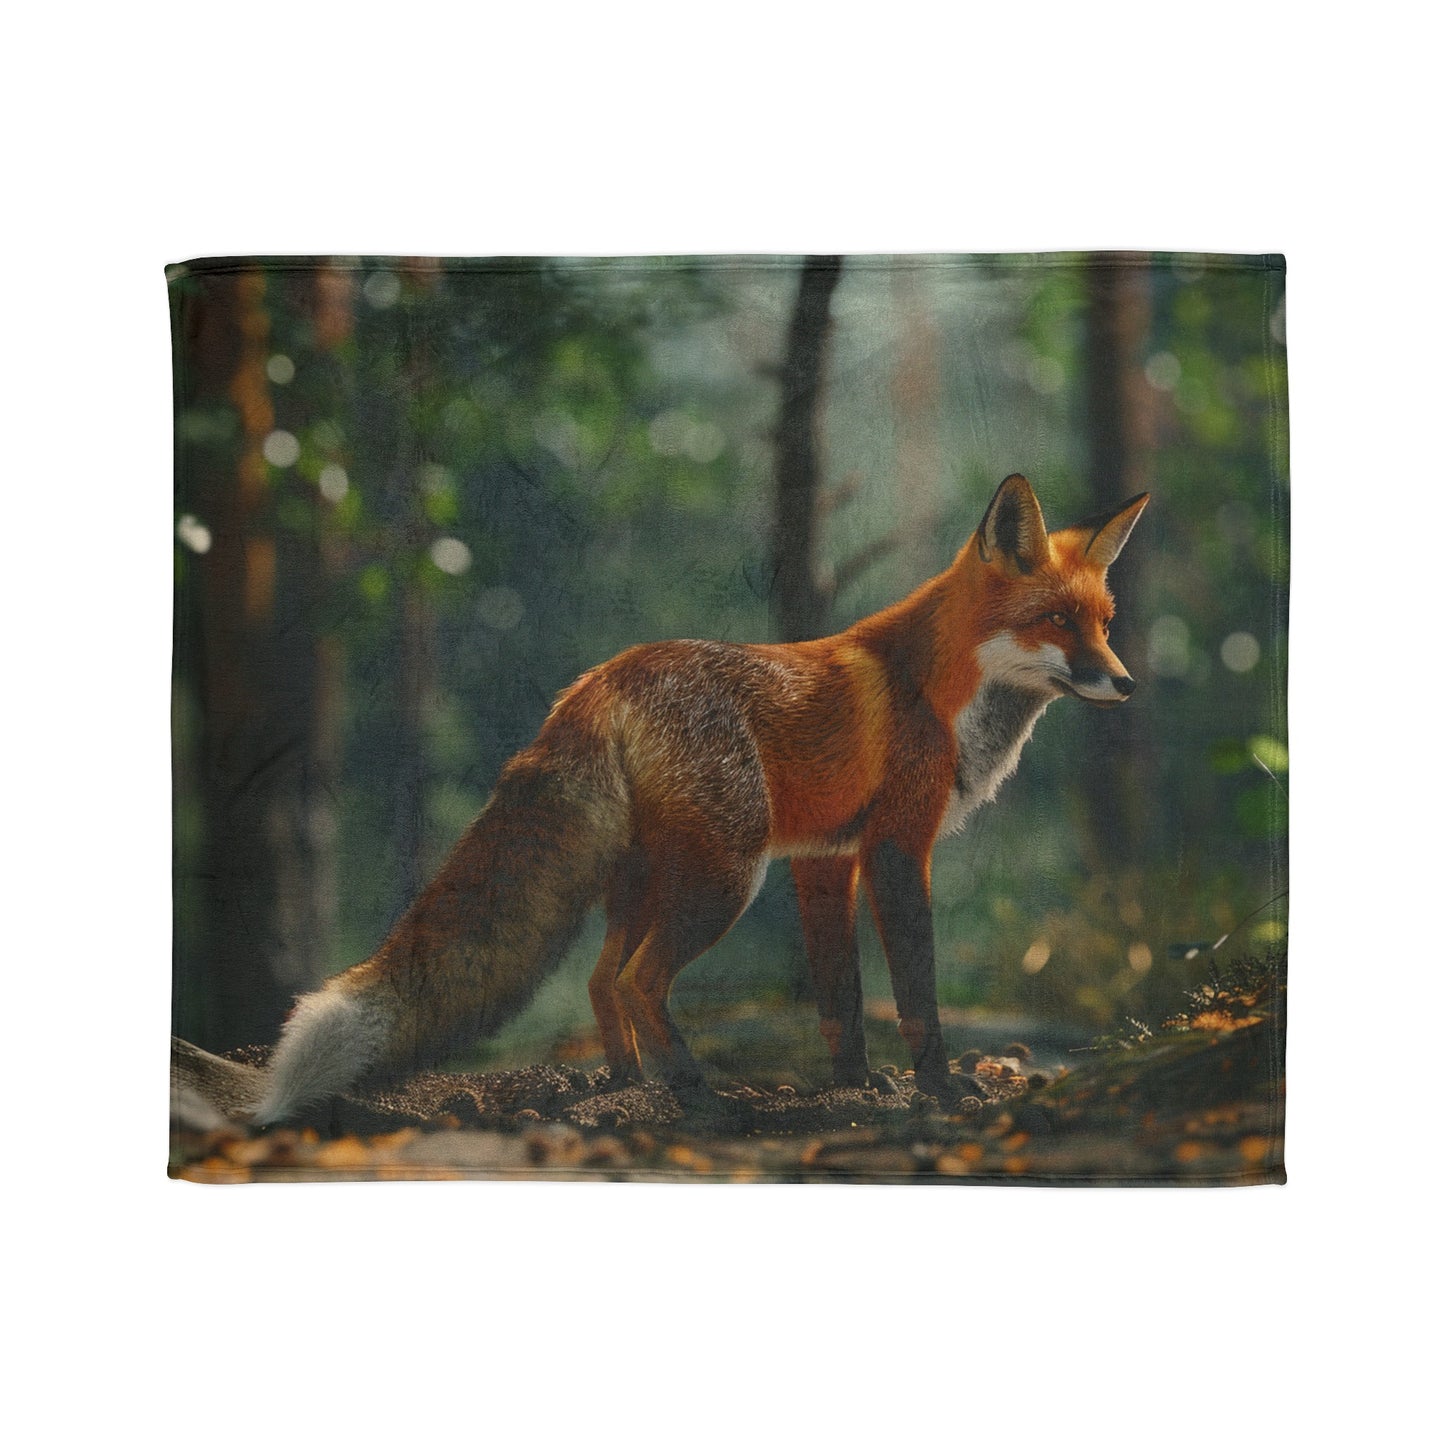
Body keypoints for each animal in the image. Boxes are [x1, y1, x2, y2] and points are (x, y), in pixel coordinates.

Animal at [253, 473, 1148, 1123]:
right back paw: (692, 1091)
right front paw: (938, 1087)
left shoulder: (824, 858)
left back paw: (624, 1081)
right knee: (638, 979)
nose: (1127, 683)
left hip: (647, 873)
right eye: (1055, 619)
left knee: (601, 979)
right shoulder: (896, 847)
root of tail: (598, 680)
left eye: (1103, 622)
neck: (942, 695)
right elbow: (915, 991)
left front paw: (855, 1083)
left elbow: (839, 993)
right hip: (723, 875)